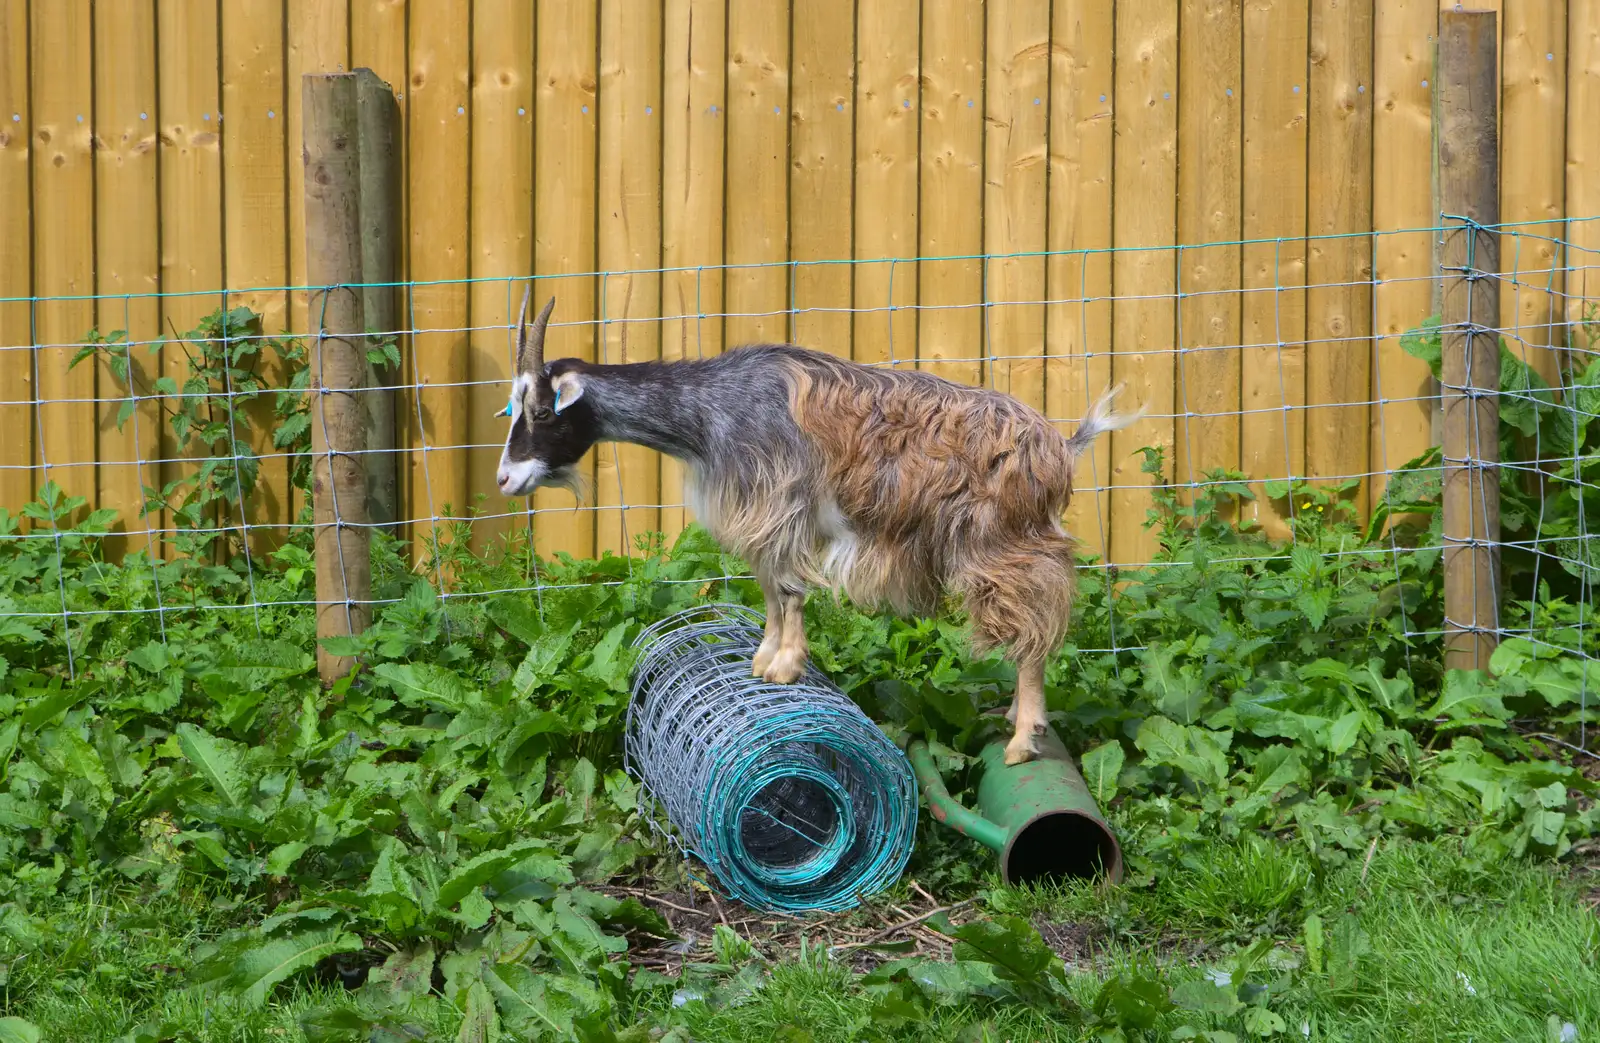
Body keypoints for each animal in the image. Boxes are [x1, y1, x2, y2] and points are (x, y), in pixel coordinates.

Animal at [492, 284, 1145, 764]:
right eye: (514, 408)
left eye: (543, 410)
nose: (505, 478)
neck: (709, 411)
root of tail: (1059, 449)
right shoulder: (764, 520)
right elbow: (768, 589)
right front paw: (763, 659)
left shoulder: (780, 505)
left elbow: (787, 589)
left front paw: (785, 667)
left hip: (999, 544)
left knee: (1032, 631)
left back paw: (1022, 739)